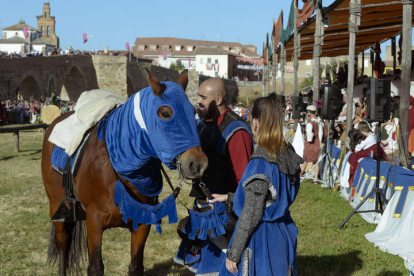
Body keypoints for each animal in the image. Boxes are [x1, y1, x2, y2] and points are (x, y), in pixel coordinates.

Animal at [42, 70, 207, 274]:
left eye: (194, 112)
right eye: (165, 113)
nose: (198, 164)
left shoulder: (142, 223)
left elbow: (135, 266)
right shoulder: (94, 222)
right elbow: (95, 267)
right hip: (56, 204)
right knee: (63, 245)